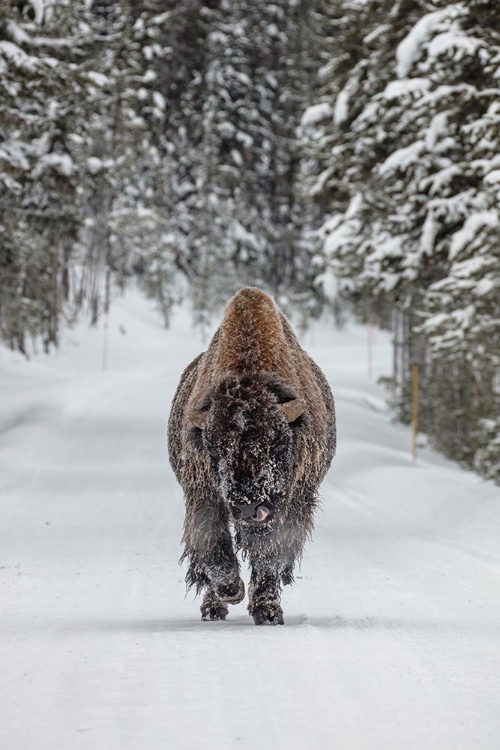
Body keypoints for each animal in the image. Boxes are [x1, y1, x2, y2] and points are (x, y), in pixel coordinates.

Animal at [168, 288, 336, 628]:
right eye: (214, 449)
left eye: (278, 444)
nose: (248, 506)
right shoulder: (203, 494)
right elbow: (213, 548)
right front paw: (231, 592)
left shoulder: (288, 503)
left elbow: (269, 554)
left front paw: (267, 611)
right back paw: (213, 608)